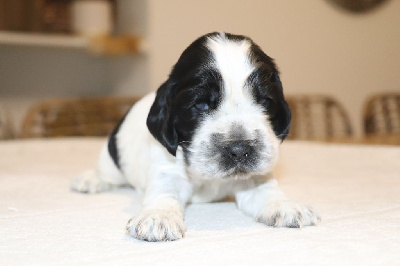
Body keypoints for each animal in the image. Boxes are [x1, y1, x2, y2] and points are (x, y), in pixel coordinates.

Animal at [72, 32, 320, 242]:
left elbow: (266, 190)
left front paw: (286, 206)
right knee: (107, 172)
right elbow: (165, 192)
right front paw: (158, 217)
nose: (239, 150)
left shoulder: (253, 177)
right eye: (200, 105)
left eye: (265, 102)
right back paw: (90, 180)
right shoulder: (168, 168)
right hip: (111, 158)